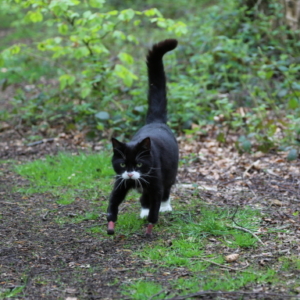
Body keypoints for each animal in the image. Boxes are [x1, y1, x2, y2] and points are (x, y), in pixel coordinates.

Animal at [107, 39, 178, 237]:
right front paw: (111, 219)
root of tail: (155, 122)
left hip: (170, 170)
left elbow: (156, 199)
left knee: (166, 189)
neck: (134, 180)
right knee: (144, 198)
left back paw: (164, 207)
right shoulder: (121, 181)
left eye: (139, 163)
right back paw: (144, 210)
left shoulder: (155, 181)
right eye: (123, 164)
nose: (131, 173)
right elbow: (114, 199)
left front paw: (152, 222)